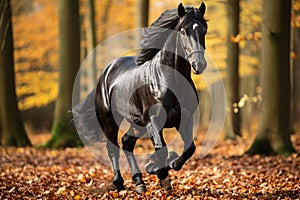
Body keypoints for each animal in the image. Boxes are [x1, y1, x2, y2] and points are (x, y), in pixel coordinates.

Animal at [74, 2, 207, 194]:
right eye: (183, 31)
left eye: (204, 30)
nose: (199, 64)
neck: (168, 79)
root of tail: (105, 73)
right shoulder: (153, 120)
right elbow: (161, 149)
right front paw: (159, 172)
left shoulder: (184, 118)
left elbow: (189, 148)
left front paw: (163, 167)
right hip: (110, 121)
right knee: (113, 148)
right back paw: (119, 182)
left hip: (137, 124)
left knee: (127, 143)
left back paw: (139, 182)